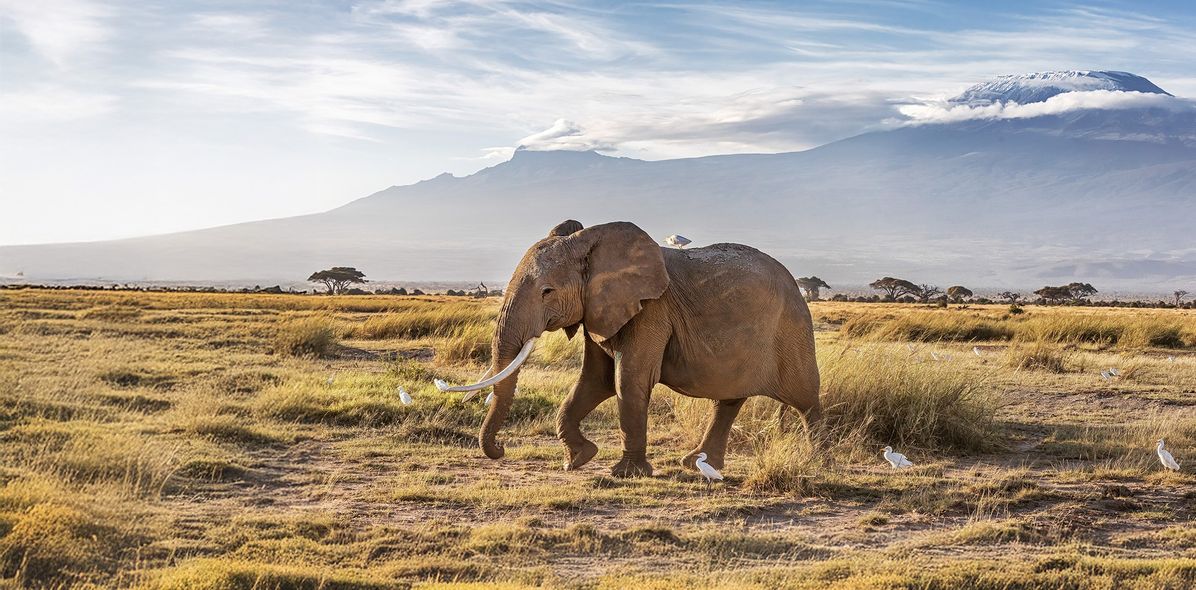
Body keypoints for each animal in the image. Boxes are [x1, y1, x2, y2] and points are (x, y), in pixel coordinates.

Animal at [438, 220, 820, 477]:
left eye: (547, 291)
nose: (501, 449)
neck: (590, 244)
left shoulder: (651, 310)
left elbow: (628, 380)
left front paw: (625, 474)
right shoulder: (598, 310)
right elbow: (595, 381)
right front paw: (578, 460)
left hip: (792, 329)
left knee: (805, 399)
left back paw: (818, 461)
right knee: (728, 400)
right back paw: (696, 464)